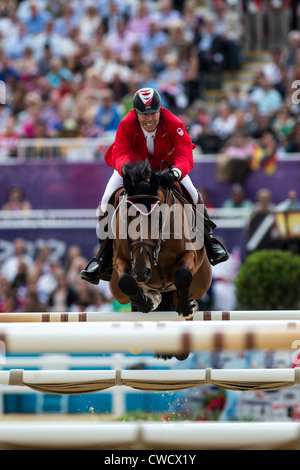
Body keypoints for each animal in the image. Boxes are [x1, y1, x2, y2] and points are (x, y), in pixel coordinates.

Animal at [109, 160, 212, 324]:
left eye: (158, 216)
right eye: (127, 217)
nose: (141, 271)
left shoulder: (190, 254)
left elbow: (183, 274)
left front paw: (185, 308)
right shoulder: (120, 259)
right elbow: (125, 281)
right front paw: (146, 303)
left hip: (202, 281)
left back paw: (188, 303)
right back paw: (153, 298)